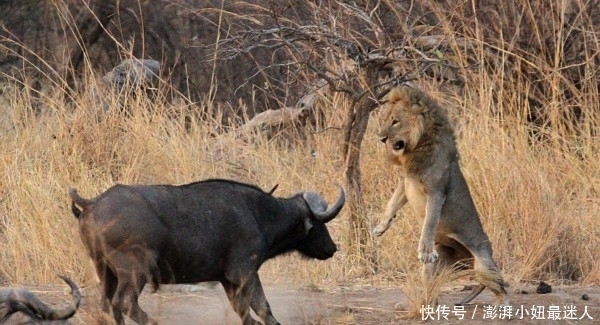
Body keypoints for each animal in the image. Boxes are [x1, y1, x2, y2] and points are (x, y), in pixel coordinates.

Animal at [68, 178, 344, 322]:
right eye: (319, 223)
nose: (332, 247)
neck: (260, 214)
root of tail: (91, 204)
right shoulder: (246, 273)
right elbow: (263, 308)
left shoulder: (228, 281)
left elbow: (243, 311)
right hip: (135, 272)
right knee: (124, 301)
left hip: (105, 271)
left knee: (108, 305)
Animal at [372, 85, 508, 304]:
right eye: (385, 120)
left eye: (395, 121)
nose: (381, 138)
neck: (415, 147)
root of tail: (467, 260)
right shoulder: (406, 182)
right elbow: (391, 203)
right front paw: (381, 227)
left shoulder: (436, 192)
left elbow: (429, 222)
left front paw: (425, 250)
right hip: (439, 267)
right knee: (432, 285)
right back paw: (426, 303)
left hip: (484, 263)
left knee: (501, 288)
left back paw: (503, 306)